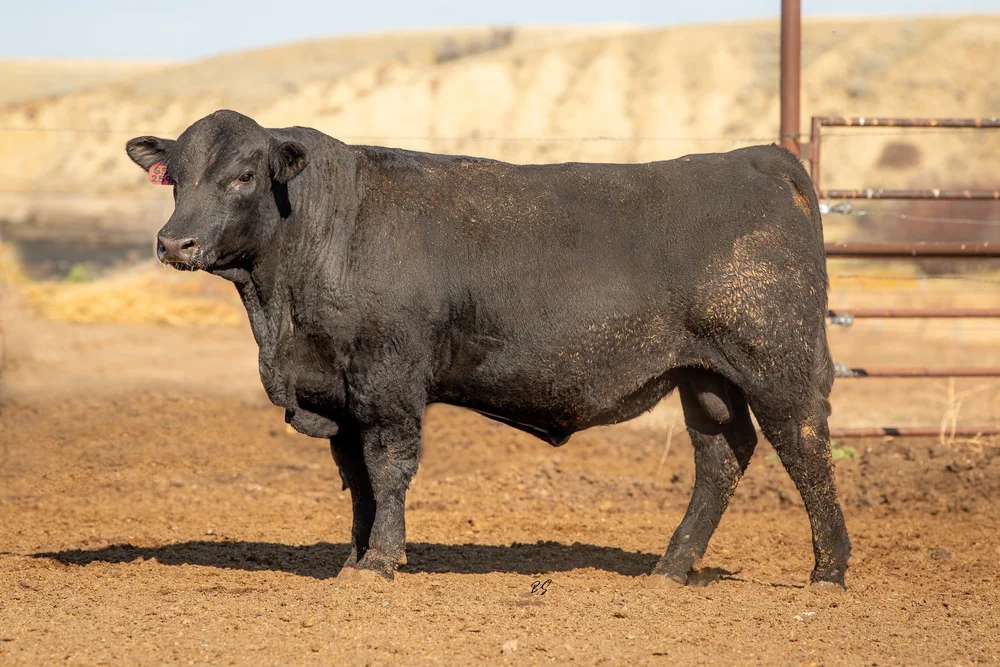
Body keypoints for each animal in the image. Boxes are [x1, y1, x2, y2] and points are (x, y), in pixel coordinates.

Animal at [125, 109, 851, 588]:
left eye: (244, 175)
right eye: (174, 177)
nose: (174, 241)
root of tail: (759, 158)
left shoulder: (389, 381)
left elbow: (388, 468)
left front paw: (382, 562)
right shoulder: (338, 390)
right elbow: (356, 479)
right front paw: (353, 561)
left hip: (777, 363)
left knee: (806, 448)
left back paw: (828, 571)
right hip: (704, 376)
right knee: (722, 456)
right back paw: (670, 569)